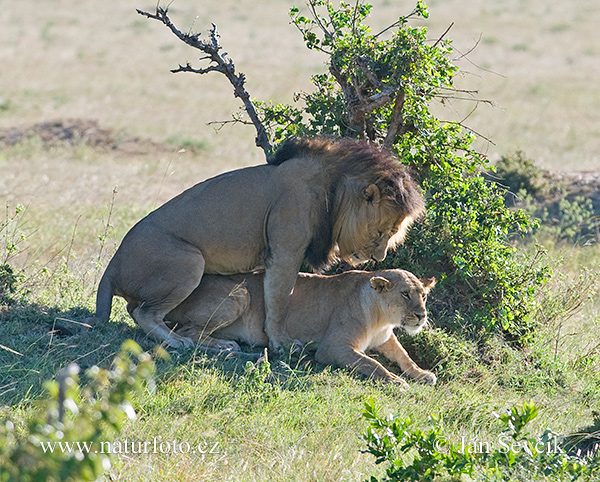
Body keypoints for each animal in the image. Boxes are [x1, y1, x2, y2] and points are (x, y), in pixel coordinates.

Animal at [91, 137, 424, 348]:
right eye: (382, 232)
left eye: (392, 233)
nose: (378, 259)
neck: (332, 188)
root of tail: (112, 267)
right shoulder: (285, 250)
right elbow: (279, 300)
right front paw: (279, 342)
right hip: (190, 261)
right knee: (145, 313)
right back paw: (178, 341)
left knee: (135, 309)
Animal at [162, 272, 438, 388]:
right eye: (405, 294)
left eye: (423, 296)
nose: (422, 316)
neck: (382, 318)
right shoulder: (332, 347)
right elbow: (372, 363)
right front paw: (395, 381)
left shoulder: (384, 338)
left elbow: (404, 356)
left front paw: (422, 374)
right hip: (241, 293)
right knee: (186, 332)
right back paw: (226, 346)